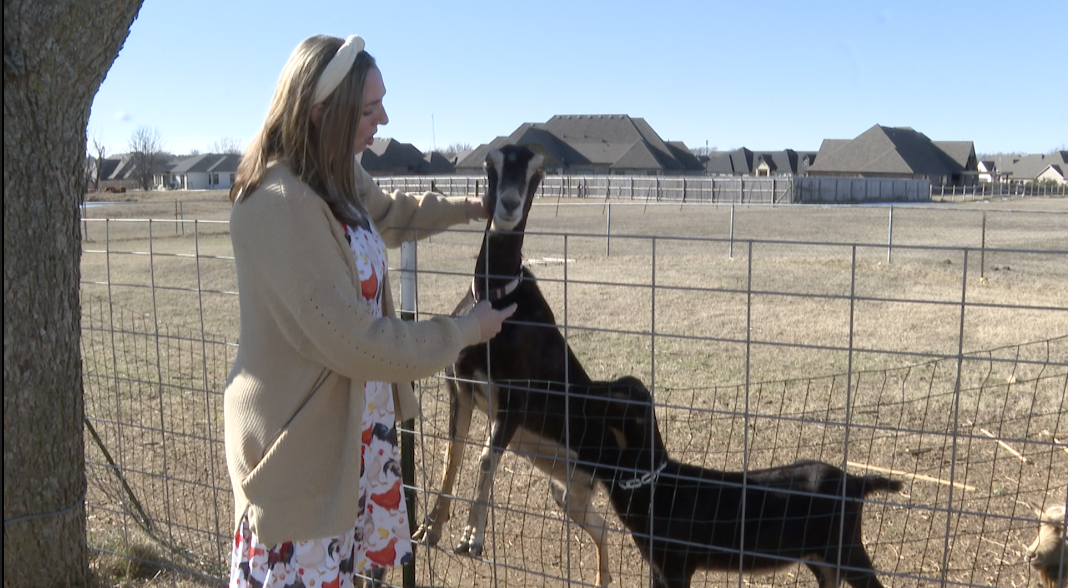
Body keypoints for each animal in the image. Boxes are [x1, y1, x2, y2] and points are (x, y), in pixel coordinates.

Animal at [413, 144, 623, 587]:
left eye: (538, 171)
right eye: (490, 162)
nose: (508, 205)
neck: (497, 296)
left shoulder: (514, 401)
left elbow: (485, 458)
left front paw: (471, 539)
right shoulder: (460, 389)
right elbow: (453, 454)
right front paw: (430, 529)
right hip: (569, 494)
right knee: (600, 527)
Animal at [578, 383, 903, 588]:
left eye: (619, 393)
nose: (581, 390)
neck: (658, 486)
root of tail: (856, 482)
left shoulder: (676, 566)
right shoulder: (658, 568)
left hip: (843, 546)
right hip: (819, 555)